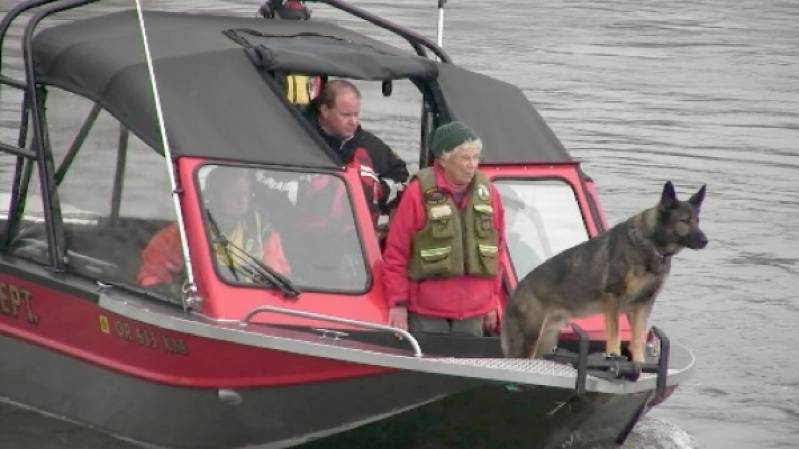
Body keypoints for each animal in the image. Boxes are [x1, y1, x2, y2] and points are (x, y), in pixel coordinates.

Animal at [504, 181, 708, 360]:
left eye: (697, 220)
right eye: (684, 221)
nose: (706, 241)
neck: (651, 244)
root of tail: (515, 291)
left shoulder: (643, 305)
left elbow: (637, 341)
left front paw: (639, 363)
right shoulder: (612, 299)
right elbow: (614, 336)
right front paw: (613, 356)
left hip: (545, 342)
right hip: (529, 341)